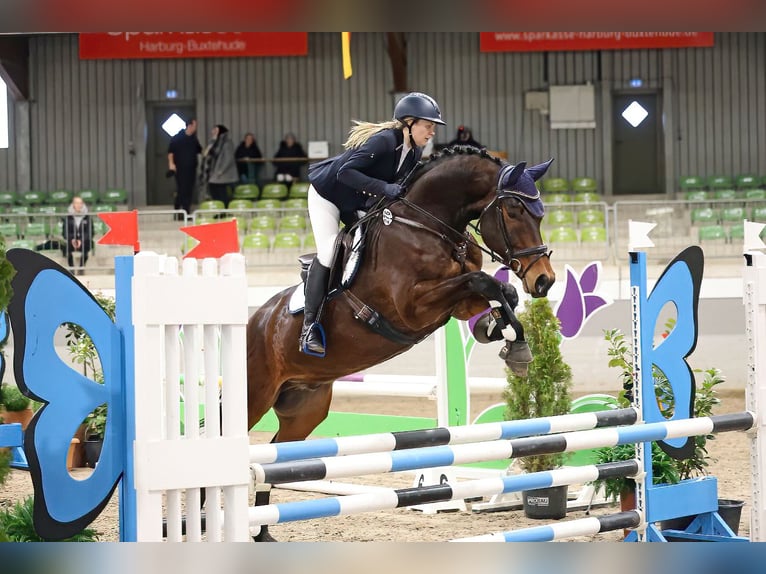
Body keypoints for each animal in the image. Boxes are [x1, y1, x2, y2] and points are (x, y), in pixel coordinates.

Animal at [245, 146, 556, 540]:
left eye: (539, 213)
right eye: (514, 210)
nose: (545, 280)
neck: (428, 227)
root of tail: (256, 322)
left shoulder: (456, 302)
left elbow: (500, 291)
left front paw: (505, 336)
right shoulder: (412, 307)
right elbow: (485, 282)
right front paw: (512, 341)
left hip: (304, 408)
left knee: (275, 456)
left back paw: (261, 531)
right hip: (255, 395)